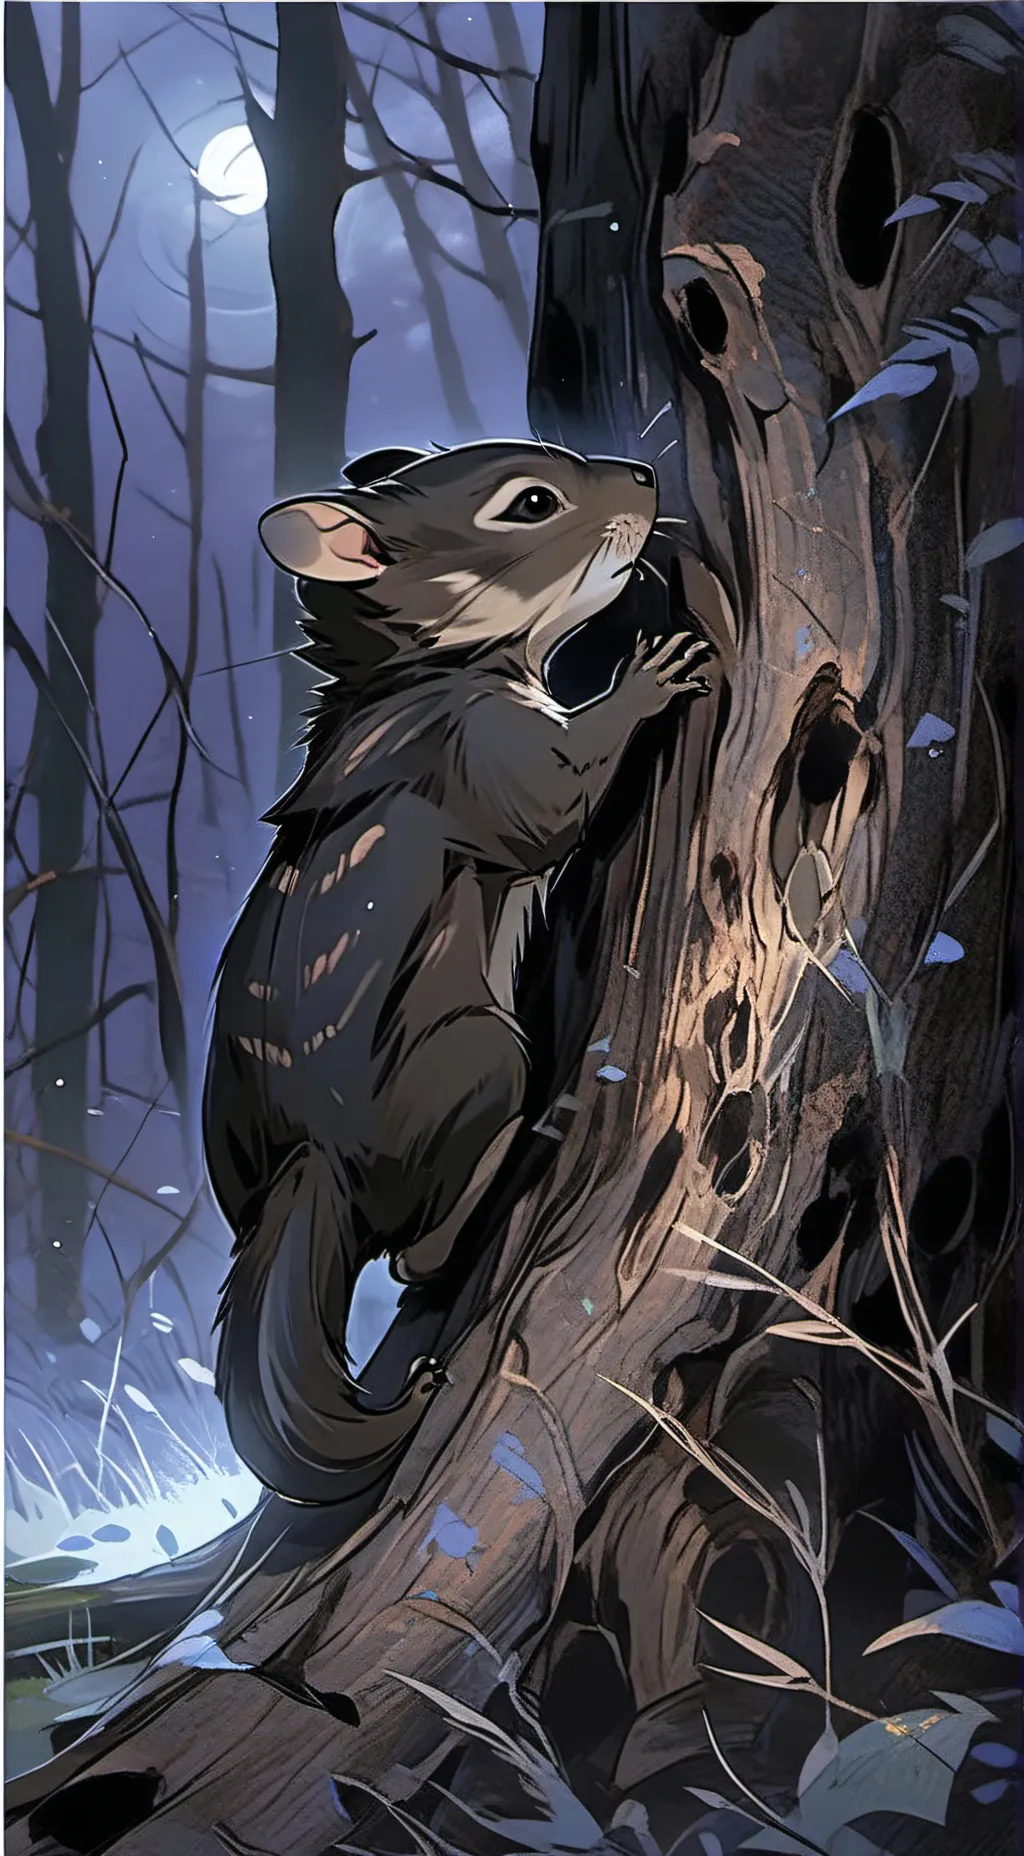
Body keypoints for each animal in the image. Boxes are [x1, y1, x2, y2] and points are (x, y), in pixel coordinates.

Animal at [202, 440, 710, 1505]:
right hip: (483, 1054)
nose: (647, 480)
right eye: (530, 503)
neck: (429, 668)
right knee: (414, 1256)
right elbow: (557, 803)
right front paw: (647, 677)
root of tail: (308, 1170)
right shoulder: (483, 747)